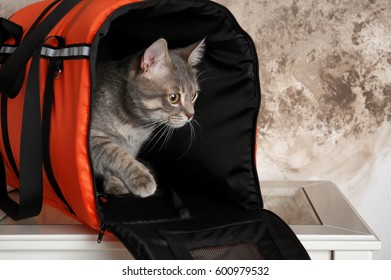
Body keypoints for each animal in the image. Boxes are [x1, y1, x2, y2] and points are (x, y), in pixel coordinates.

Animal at [89, 38, 205, 197]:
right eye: (173, 98)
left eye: (193, 95)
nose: (190, 115)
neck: (135, 124)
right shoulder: (93, 138)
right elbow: (116, 155)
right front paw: (141, 177)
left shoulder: (133, 146)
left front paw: (115, 183)